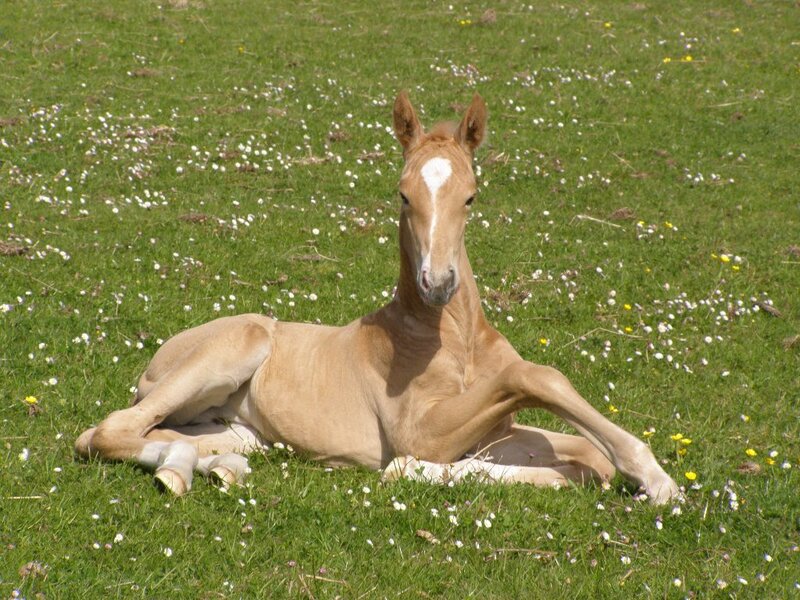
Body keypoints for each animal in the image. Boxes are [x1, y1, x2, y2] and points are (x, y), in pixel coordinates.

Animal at [75, 92, 680, 505]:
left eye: (471, 196)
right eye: (403, 193)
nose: (438, 283)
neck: (454, 340)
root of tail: (158, 358)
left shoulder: (495, 431)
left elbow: (587, 458)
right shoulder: (422, 430)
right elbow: (536, 376)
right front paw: (657, 479)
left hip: (239, 429)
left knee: (165, 435)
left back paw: (219, 467)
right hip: (235, 346)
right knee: (107, 430)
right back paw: (177, 471)